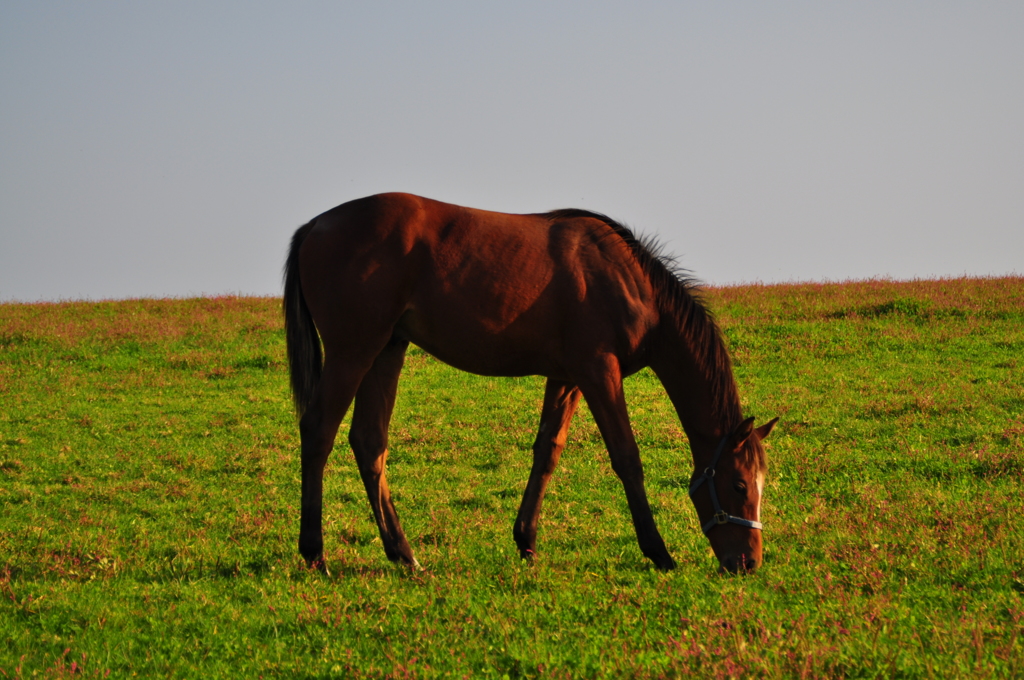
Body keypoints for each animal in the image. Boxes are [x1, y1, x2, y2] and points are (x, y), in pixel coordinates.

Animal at [282, 192, 774, 573]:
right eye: (739, 486)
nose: (748, 563)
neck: (627, 282)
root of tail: (316, 225)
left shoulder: (566, 378)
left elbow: (547, 453)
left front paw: (526, 540)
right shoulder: (599, 373)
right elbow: (627, 458)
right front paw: (658, 552)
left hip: (386, 350)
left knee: (369, 443)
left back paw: (403, 554)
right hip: (353, 352)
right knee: (319, 431)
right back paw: (315, 553)